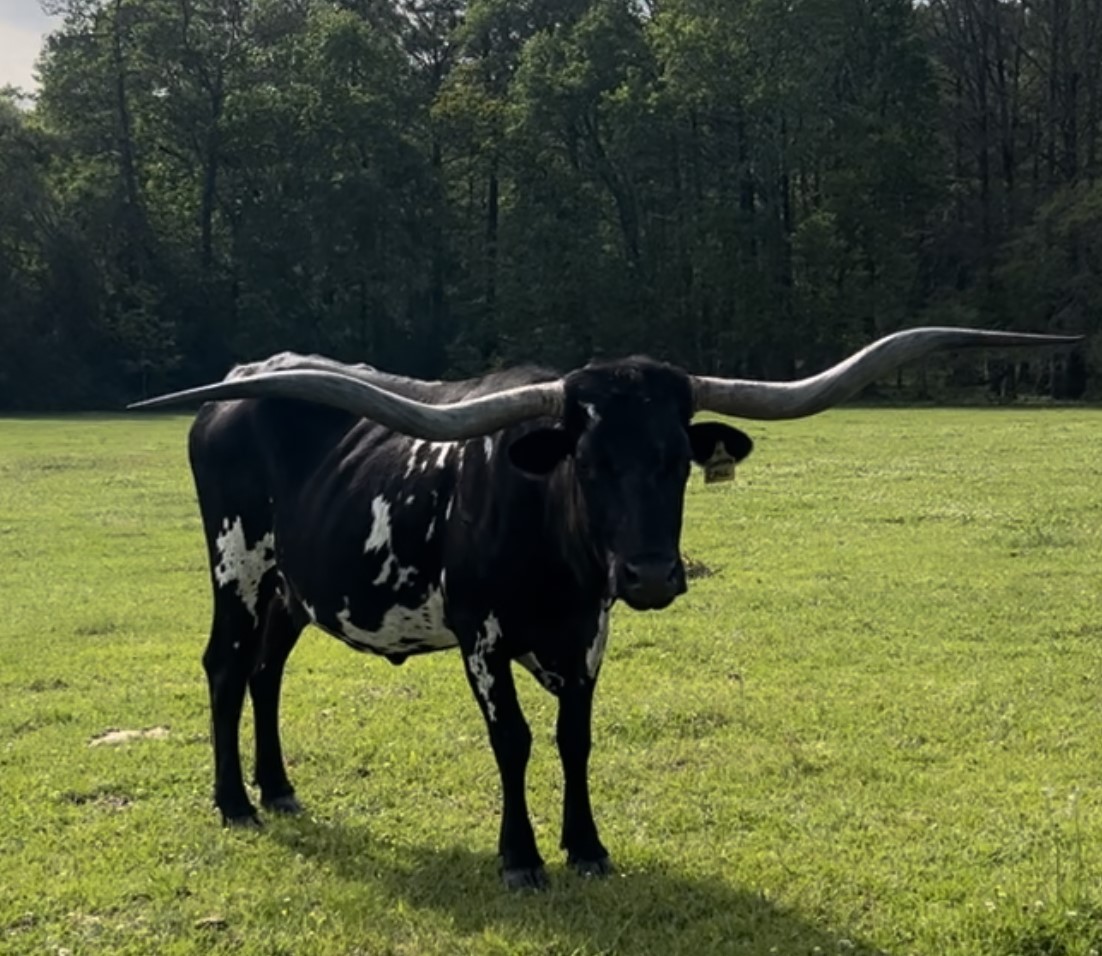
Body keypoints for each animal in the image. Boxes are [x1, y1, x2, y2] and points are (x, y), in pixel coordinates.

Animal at [132, 327, 1078, 889]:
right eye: (587, 462)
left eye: (677, 460)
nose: (653, 575)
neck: (550, 540)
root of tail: (237, 388)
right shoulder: (481, 636)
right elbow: (514, 741)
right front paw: (520, 858)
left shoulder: (590, 633)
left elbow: (574, 739)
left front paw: (585, 846)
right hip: (236, 567)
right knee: (225, 667)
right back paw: (234, 801)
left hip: (290, 592)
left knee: (265, 673)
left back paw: (281, 788)